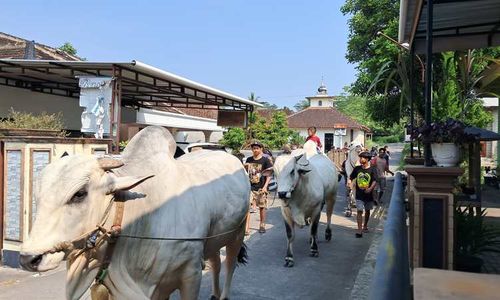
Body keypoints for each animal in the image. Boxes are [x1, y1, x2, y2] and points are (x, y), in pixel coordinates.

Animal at [20, 126, 250, 300]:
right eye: (38, 195)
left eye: (79, 194)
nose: (28, 259)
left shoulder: (191, 274)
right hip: (215, 239)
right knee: (216, 263)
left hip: (237, 234)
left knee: (229, 264)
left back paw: (224, 294)